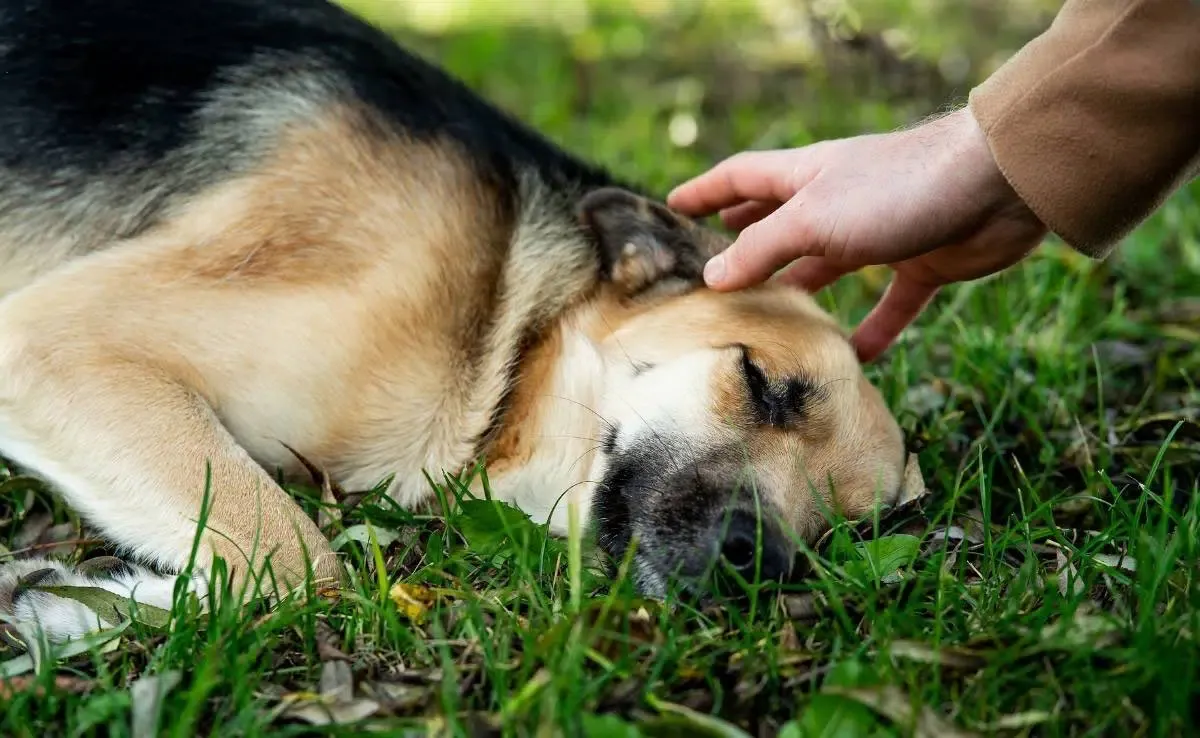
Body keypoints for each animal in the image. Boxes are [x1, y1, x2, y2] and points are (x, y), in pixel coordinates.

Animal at [0, 0, 902, 648]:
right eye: (760, 382)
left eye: (849, 530)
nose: (763, 564)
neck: (505, 334)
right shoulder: (56, 341)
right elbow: (303, 558)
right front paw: (78, 608)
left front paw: (79, 610)